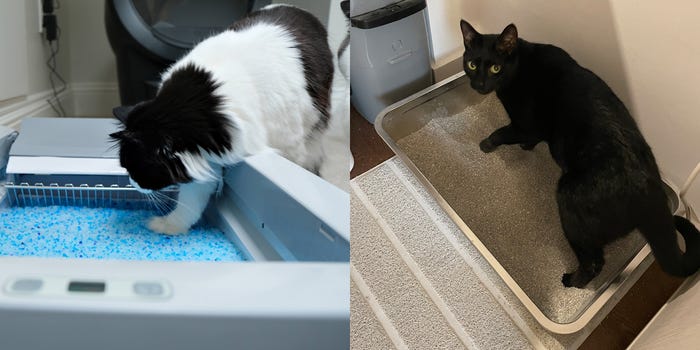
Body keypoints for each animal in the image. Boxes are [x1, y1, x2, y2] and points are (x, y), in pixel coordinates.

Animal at [110, 4, 348, 234]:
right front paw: (171, 226)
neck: (210, 100)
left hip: (314, 130)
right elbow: (191, 202)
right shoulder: (211, 153)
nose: (132, 183)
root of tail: (301, 10)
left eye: (137, 169)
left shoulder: (290, 149)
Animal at [460, 19, 700, 288]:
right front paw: (526, 147)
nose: (479, 84)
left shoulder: (525, 124)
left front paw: (486, 144)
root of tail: (650, 194)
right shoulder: (537, 130)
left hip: (570, 203)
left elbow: (501, 133)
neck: (519, 67)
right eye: (471, 65)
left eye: (495, 68)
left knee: (594, 262)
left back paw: (572, 280)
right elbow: (529, 139)